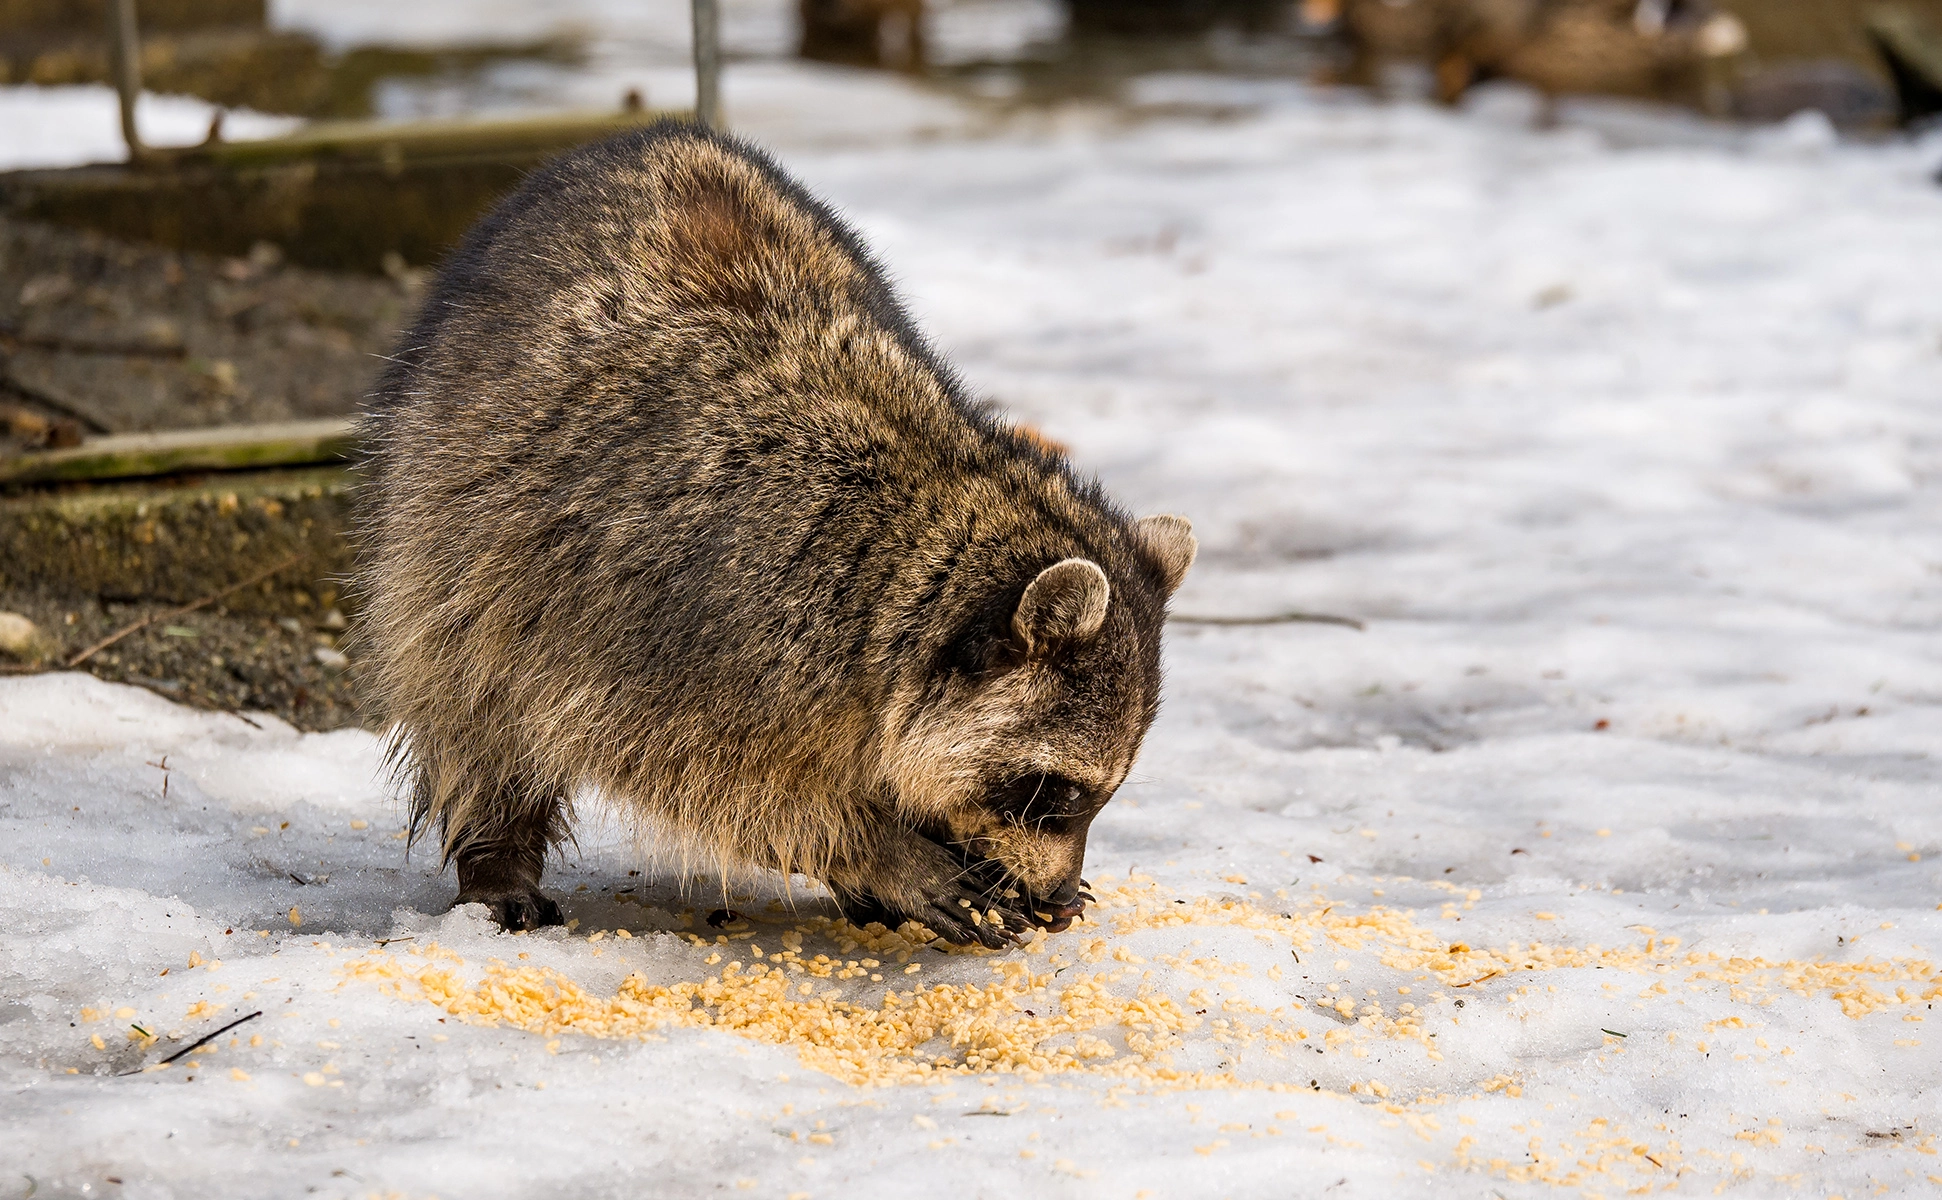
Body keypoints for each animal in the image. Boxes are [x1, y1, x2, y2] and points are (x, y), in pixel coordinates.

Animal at [357, 121, 1188, 943]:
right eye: (1055, 794)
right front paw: (878, 849)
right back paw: (496, 852)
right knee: (475, 703)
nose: (1058, 899)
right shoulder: (684, 624)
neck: (909, 542)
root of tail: (637, 139)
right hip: (449, 529)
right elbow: (707, 775)